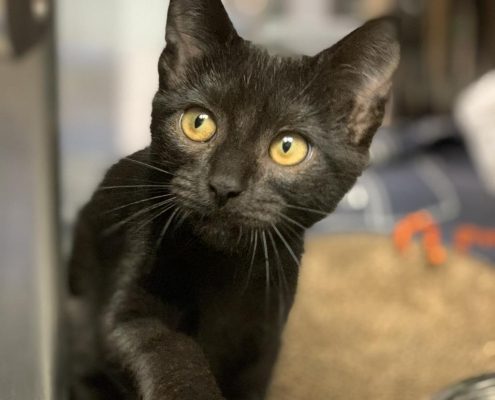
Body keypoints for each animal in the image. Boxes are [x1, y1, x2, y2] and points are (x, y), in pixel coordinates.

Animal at [70, 1, 402, 398]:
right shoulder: (124, 309)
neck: (223, 272)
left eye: (288, 147)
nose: (225, 185)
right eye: (198, 123)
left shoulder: (264, 346)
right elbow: (164, 345)